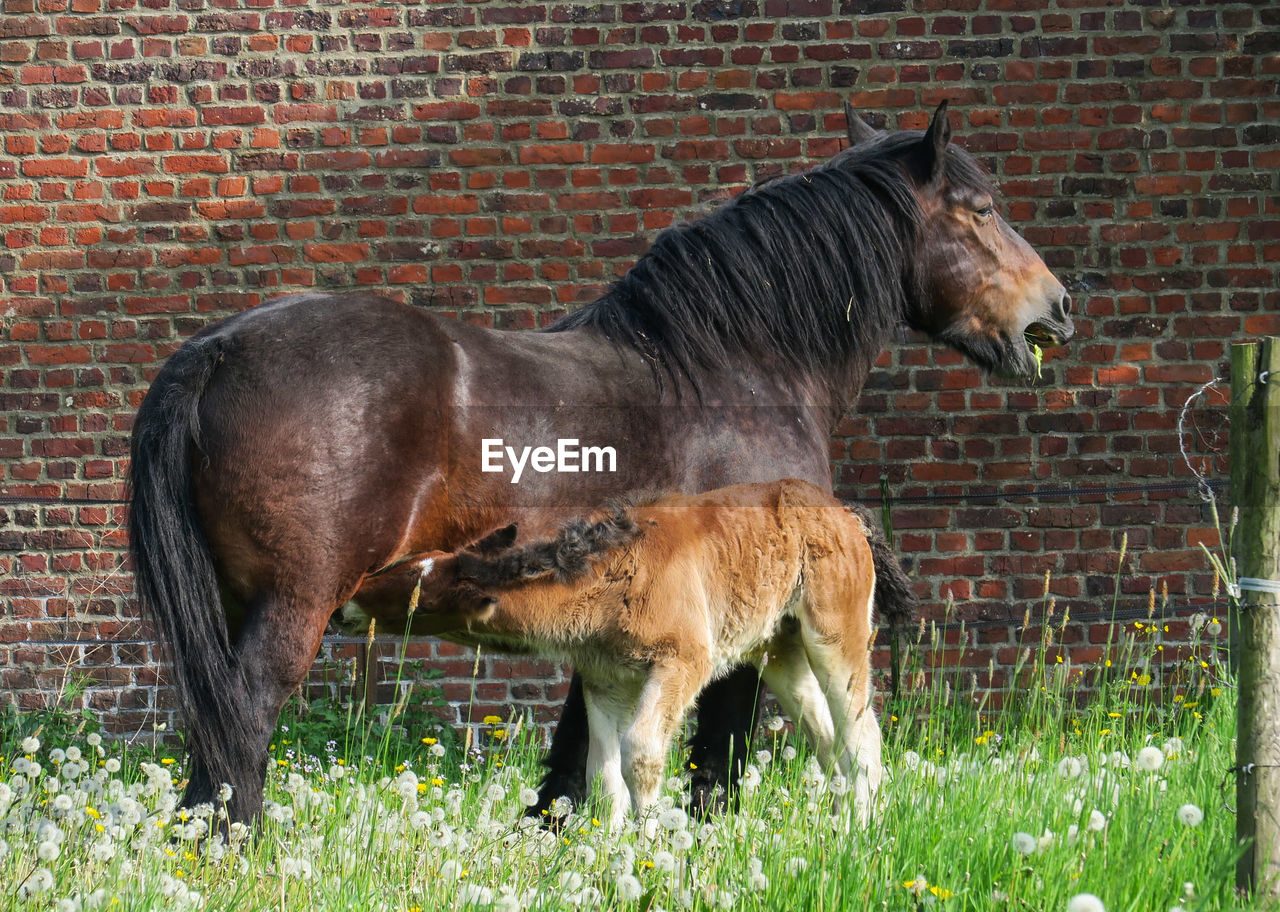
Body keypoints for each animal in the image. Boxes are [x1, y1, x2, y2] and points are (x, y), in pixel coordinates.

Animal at [360, 481, 916, 830]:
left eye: (413, 583)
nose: (352, 593)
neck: (617, 575)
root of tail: (848, 512)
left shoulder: (683, 663)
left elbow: (642, 753)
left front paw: (649, 848)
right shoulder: (605, 682)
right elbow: (602, 775)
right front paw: (609, 853)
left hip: (834, 634)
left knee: (862, 733)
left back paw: (860, 829)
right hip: (780, 650)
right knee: (828, 738)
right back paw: (835, 825)